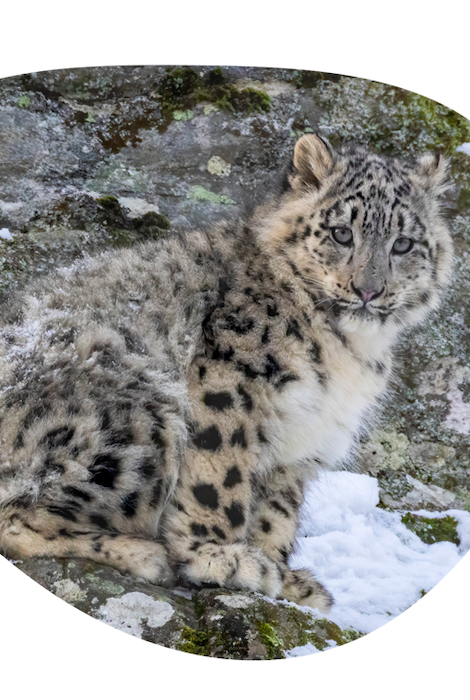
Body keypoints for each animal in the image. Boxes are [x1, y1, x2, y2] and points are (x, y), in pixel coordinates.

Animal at [0, 133, 452, 612]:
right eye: (341, 233)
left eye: (403, 244)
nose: (369, 290)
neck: (349, 351)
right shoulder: (233, 380)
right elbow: (222, 473)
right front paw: (220, 557)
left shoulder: (301, 442)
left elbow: (278, 512)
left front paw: (283, 579)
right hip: (141, 416)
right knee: (15, 516)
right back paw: (144, 554)